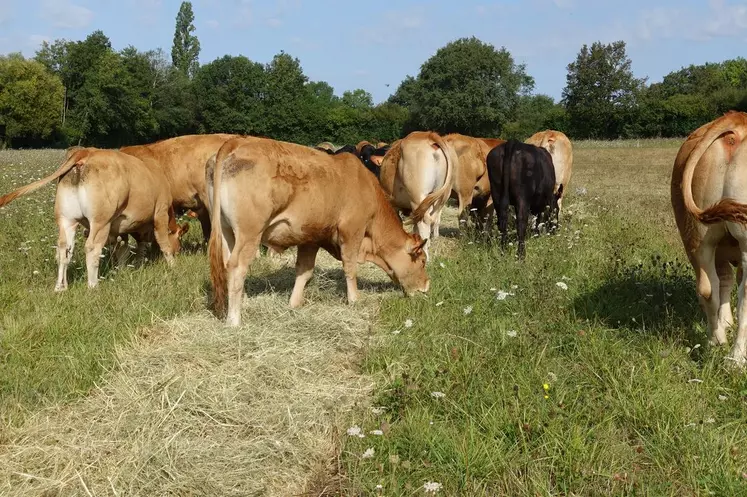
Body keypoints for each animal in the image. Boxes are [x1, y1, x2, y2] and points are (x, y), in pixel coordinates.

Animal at [0, 146, 188, 290]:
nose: (180, 251)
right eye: (179, 238)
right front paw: (173, 266)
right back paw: (93, 285)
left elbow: (124, 249)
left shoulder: (121, 227)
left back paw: (61, 287)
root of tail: (86, 151)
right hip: (100, 221)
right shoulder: (160, 213)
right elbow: (163, 243)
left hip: (67, 219)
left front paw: (125, 269)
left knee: (63, 249)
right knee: (91, 248)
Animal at [209, 136, 432, 328]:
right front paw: (354, 300)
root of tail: (238, 142)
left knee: (227, 265)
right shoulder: (352, 231)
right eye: (422, 261)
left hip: (227, 232)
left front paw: (294, 304)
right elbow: (350, 267)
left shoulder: (310, 239)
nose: (426, 286)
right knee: (238, 267)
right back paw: (234, 320)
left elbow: (304, 271)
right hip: (250, 233)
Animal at [672, 109, 747, 364]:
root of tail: (737, 121)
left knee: (708, 287)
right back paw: (736, 359)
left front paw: (726, 322)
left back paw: (716, 341)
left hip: (697, 237)